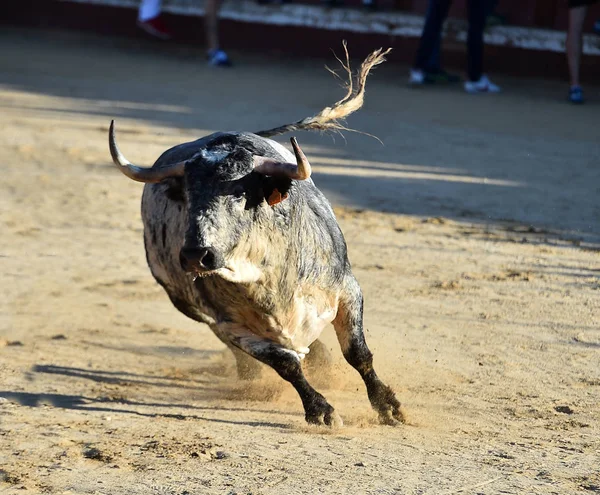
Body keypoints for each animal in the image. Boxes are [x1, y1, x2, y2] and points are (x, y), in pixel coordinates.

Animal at [108, 46, 404, 426]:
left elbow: (358, 352)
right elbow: (285, 365)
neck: (264, 277)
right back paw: (255, 372)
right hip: (187, 305)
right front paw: (321, 411)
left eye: (239, 193)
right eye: (186, 195)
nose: (195, 255)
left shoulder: (347, 290)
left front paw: (388, 406)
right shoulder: (233, 327)